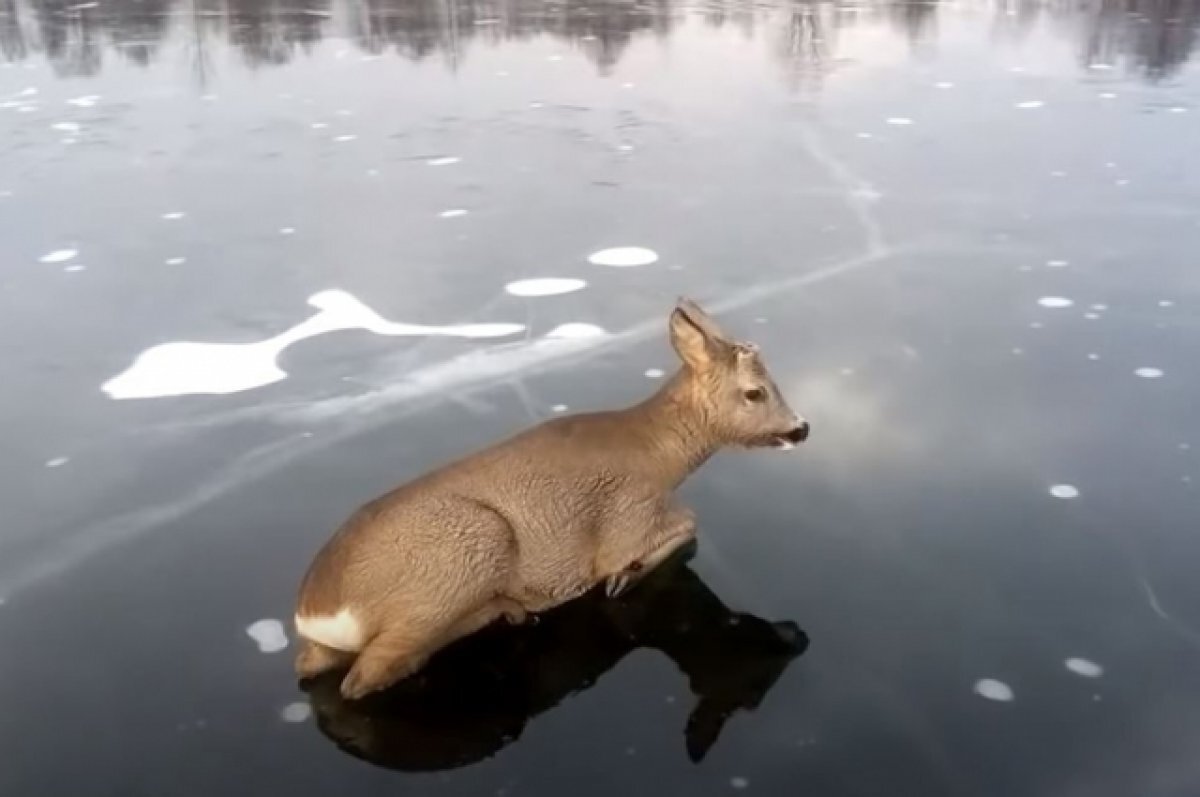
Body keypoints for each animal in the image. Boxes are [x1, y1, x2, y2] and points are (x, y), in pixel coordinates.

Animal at [290, 297, 806, 696]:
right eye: (755, 392)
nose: (801, 428)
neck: (659, 455)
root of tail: (314, 611)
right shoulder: (629, 515)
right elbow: (687, 524)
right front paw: (623, 578)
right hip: (467, 549)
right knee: (365, 676)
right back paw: (511, 610)